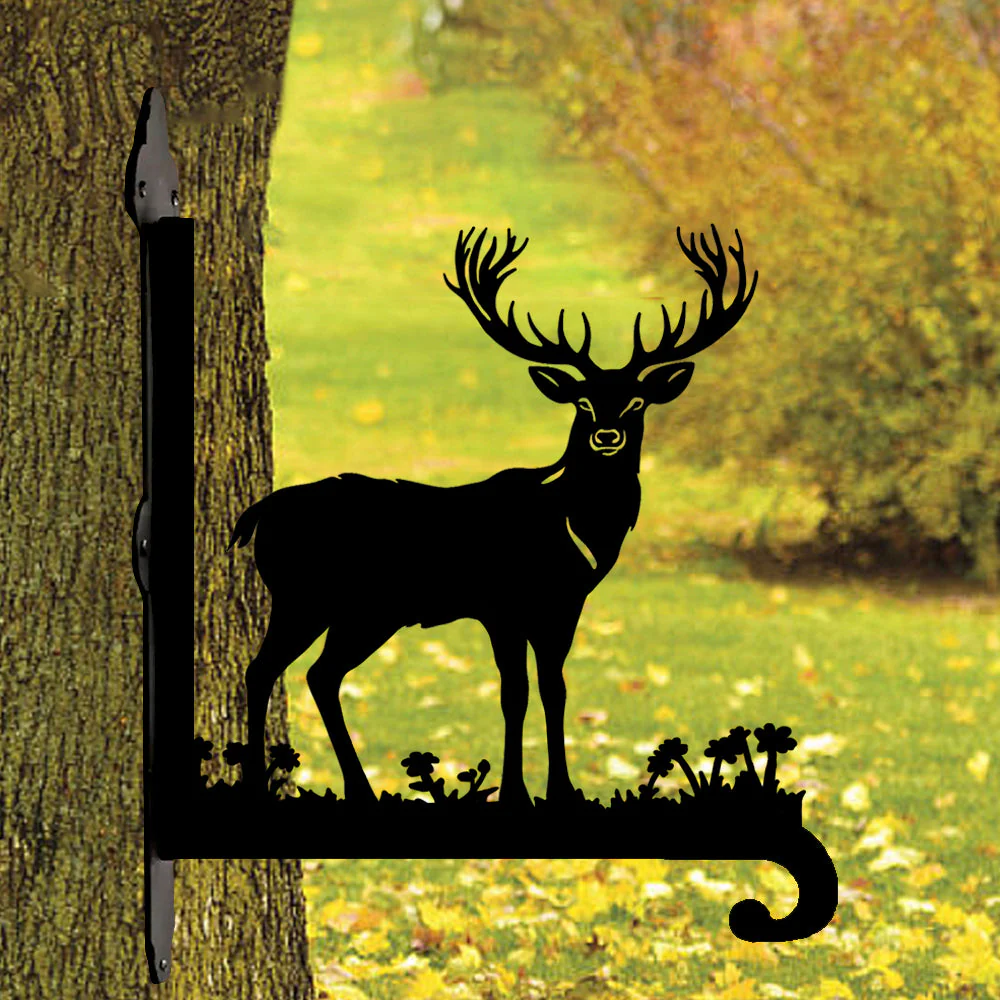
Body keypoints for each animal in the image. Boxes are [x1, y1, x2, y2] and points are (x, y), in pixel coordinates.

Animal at [229, 224, 757, 807]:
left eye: (637, 402)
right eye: (583, 403)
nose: (607, 436)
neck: (573, 530)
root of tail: (260, 511)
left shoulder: (563, 605)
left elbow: (555, 688)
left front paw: (561, 790)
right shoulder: (502, 602)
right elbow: (514, 692)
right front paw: (515, 793)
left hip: (365, 610)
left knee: (319, 674)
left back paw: (359, 789)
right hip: (309, 596)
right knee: (265, 669)